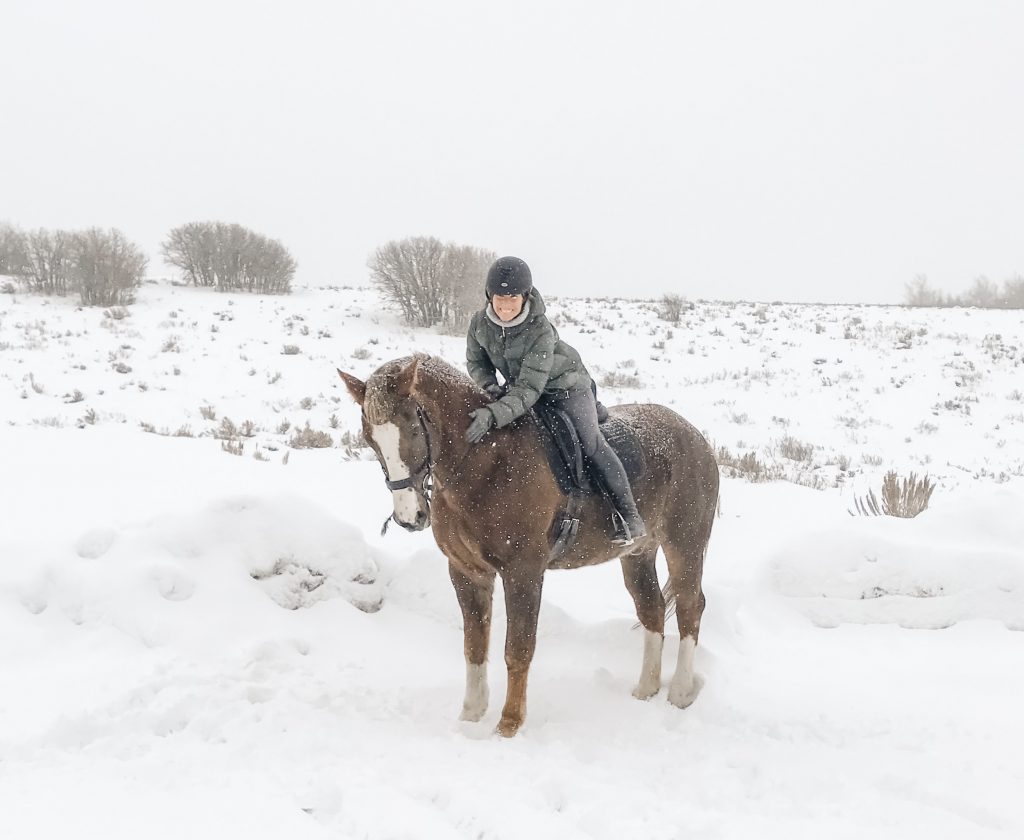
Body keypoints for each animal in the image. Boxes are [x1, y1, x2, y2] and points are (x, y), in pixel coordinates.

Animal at [338, 354, 719, 737]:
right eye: (370, 439)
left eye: (414, 430)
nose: (409, 516)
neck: (486, 463)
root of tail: (696, 438)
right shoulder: (466, 571)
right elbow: (474, 645)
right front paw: (471, 715)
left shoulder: (523, 573)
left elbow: (518, 648)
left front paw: (508, 723)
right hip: (638, 553)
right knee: (652, 607)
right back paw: (646, 688)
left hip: (684, 546)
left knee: (690, 607)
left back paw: (681, 691)